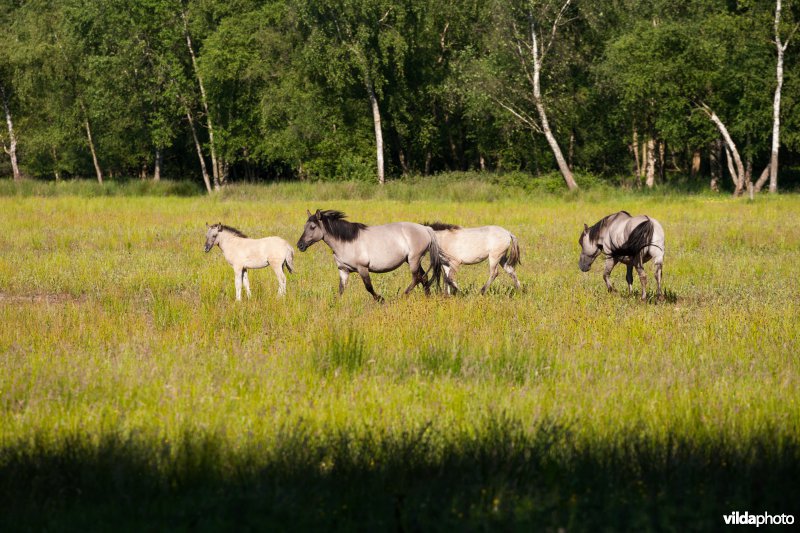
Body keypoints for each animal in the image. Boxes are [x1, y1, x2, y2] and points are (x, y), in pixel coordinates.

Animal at [296, 209, 444, 302]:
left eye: (313, 227)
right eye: (305, 226)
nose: (300, 245)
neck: (346, 242)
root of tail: (425, 229)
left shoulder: (362, 268)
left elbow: (368, 287)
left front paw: (381, 300)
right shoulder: (343, 270)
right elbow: (341, 289)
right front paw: (334, 304)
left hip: (414, 259)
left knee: (416, 278)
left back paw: (403, 296)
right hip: (411, 260)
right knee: (423, 277)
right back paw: (428, 297)